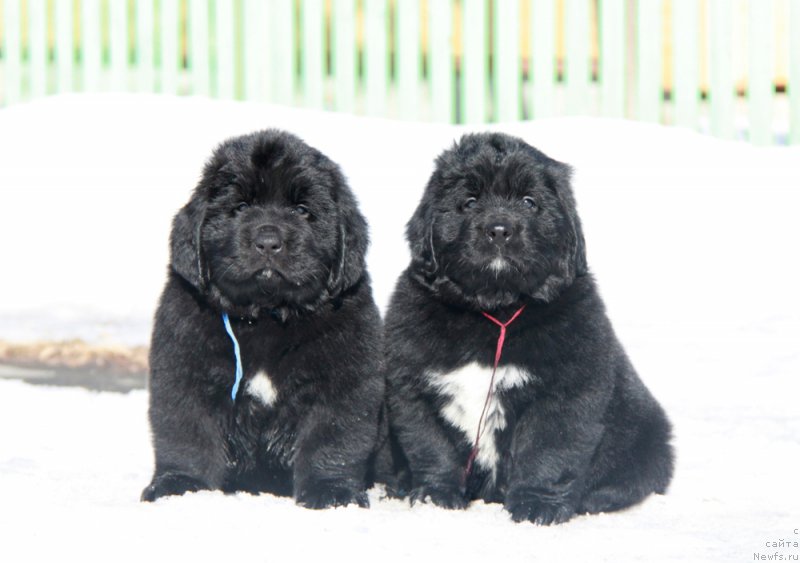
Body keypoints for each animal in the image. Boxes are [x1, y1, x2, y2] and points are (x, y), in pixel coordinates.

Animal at [141, 130, 384, 508]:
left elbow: (333, 440)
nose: (268, 241)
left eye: (302, 210)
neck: (267, 316)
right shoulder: (184, 370)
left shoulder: (343, 379)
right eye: (240, 207)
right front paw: (181, 486)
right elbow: (187, 436)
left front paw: (333, 493)